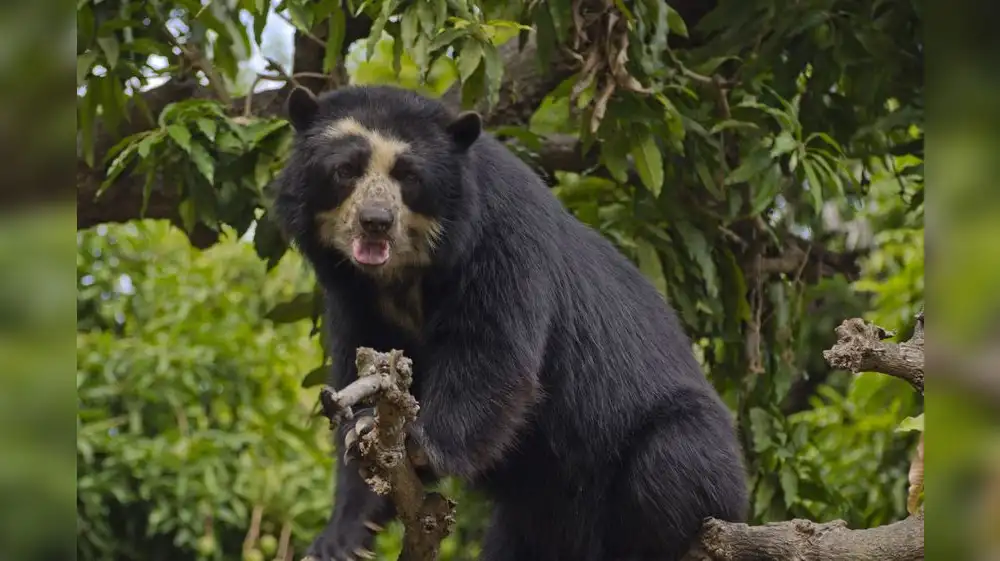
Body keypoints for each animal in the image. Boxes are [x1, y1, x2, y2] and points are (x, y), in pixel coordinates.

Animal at [271, 84, 748, 561]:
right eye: (345, 170)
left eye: (409, 176)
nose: (376, 223)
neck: (404, 276)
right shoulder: (354, 299)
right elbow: (362, 376)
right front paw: (341, 534)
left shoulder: (501, 239)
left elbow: (492, 353)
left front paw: (417, 445)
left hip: (682, 451)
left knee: (669, 463)